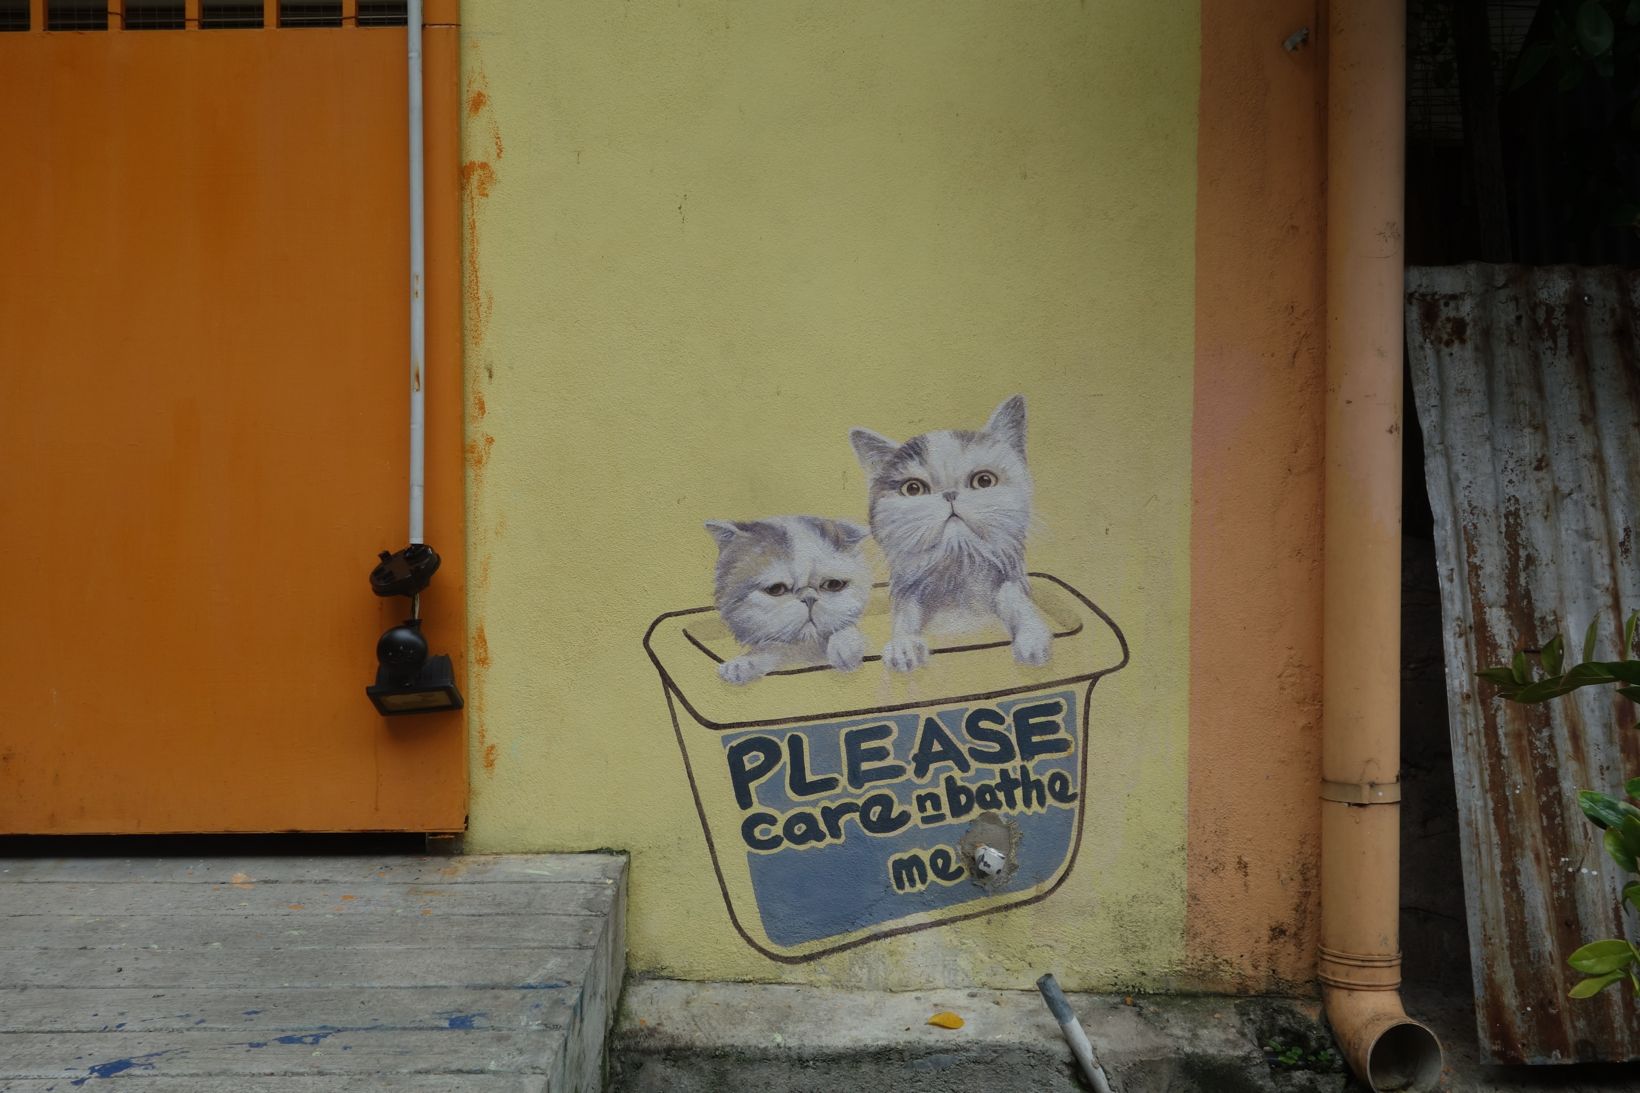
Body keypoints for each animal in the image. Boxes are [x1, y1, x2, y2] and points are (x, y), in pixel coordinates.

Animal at [705, 516, 873, 684]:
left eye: (833, 585)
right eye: (776, 589)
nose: (809, 598)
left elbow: (844, 627)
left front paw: (845, 647)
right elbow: (773, 648)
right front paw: (743, 664)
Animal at [849, 395, 1052, 672]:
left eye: (984, 481)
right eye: (913, 489)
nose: (950, 494)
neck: (959, 571)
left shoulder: (1005, 582)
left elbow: (1016, 601)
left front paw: (1032, 636)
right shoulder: (912, 591)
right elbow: (905, 614)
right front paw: (904, 645)